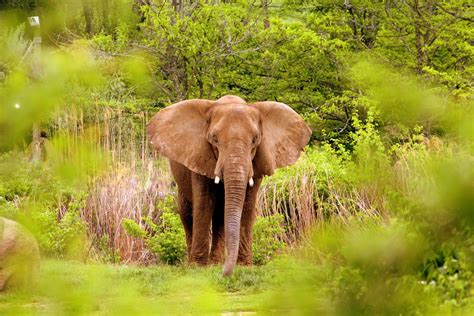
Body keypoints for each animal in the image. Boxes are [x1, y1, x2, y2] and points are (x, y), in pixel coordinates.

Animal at [148, 95, 312, 276]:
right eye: (214, 139)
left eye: (255, 140)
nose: (224, 273)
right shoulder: (199, 155)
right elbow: (204, 204)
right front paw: (198, 267)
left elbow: (247, 206)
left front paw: (244, 266)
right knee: (187, 214)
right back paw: (192, 263)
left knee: (220, 216)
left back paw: (215, 262)